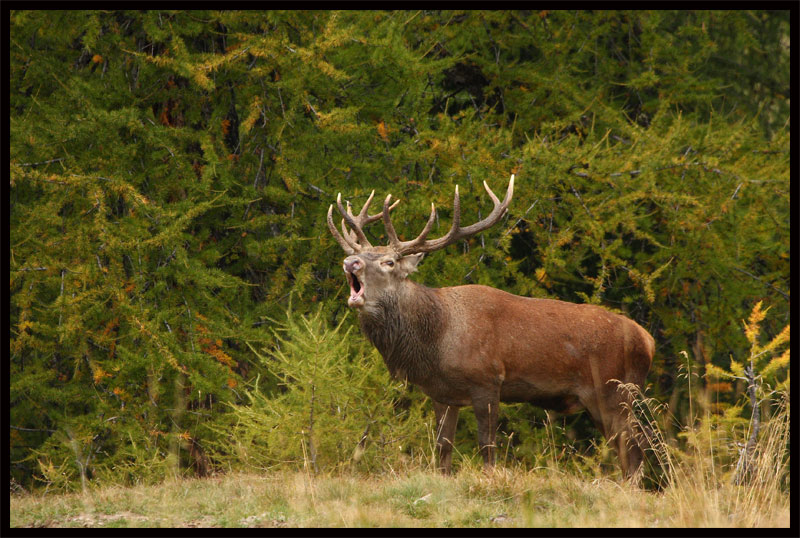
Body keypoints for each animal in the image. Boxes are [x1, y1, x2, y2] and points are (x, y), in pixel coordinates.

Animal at [326, 174, 654, 479]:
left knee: (634, 450)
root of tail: (648, 340)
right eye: (359, 255)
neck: (437, 338)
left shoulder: (487, 379)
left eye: (390, 262)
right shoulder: (442, 393)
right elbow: (442, 448)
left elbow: (487, 444)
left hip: (612, 391)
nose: (350, 262)